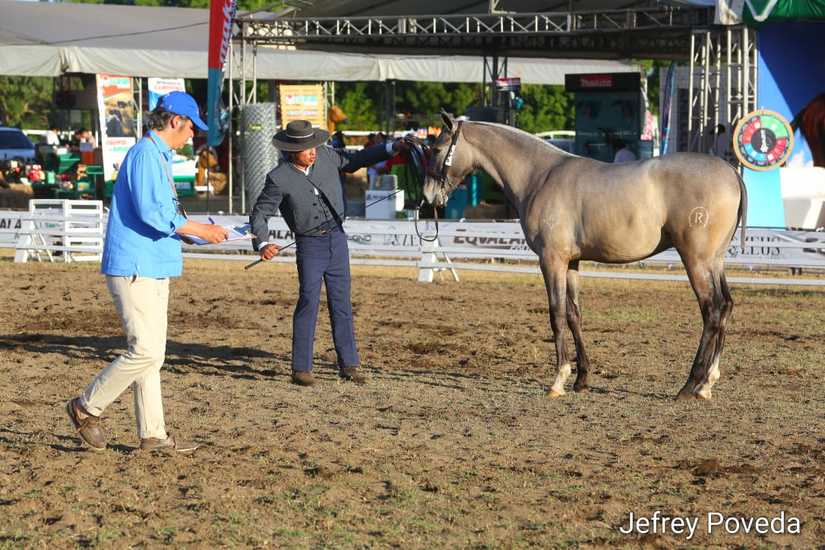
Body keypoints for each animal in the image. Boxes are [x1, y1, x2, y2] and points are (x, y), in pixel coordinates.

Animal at [423, 111, 747, 401]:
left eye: (436, 148)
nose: (427, 198)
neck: (540, 175)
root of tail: (731, 172)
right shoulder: (571, 263)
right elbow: (574, 314)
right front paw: (581, 379)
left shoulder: (551, 260)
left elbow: (556, 315)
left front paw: (558, 380)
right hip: (714, 261)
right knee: (726, 306)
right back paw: (707, 384)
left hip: (696, 260)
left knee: (712, 310)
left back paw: (690, 385)